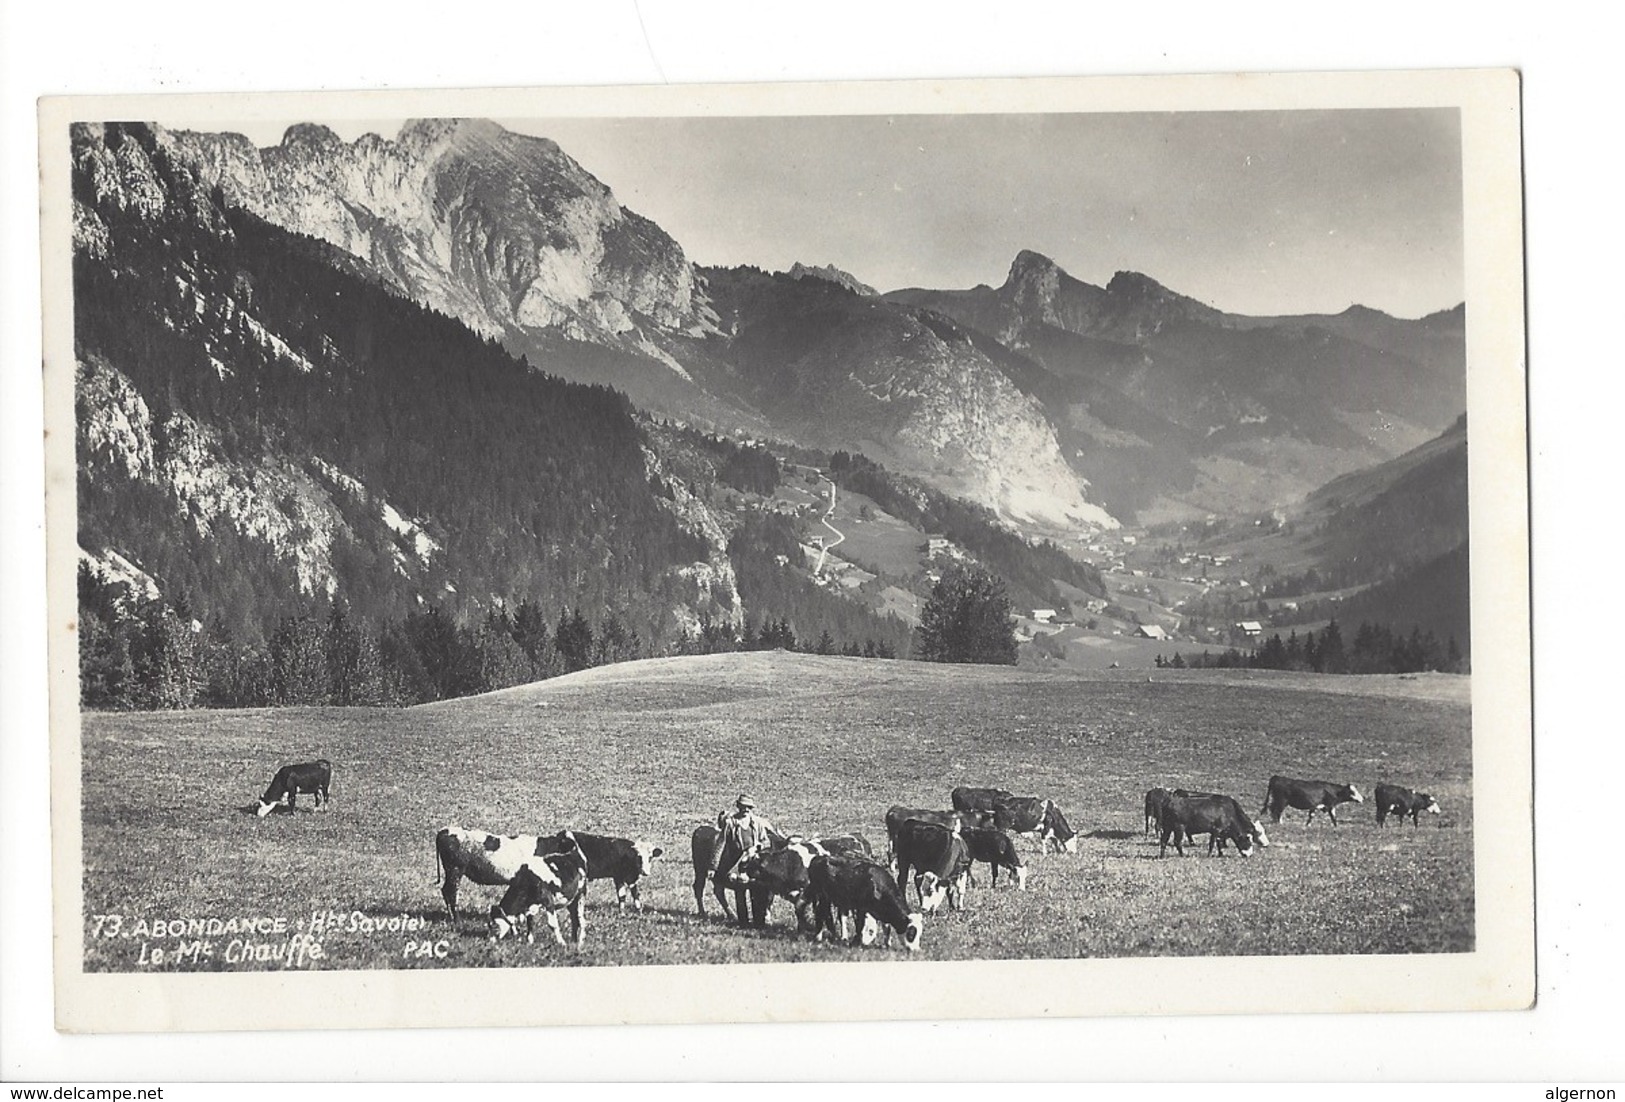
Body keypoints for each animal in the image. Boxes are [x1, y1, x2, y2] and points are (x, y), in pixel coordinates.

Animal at [432, 825, 585, 929]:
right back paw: (457, 921)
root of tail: (445, 830)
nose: (581, 857)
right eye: (572, 844)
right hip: (455, 870)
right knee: (451, 892)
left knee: (445, 891)